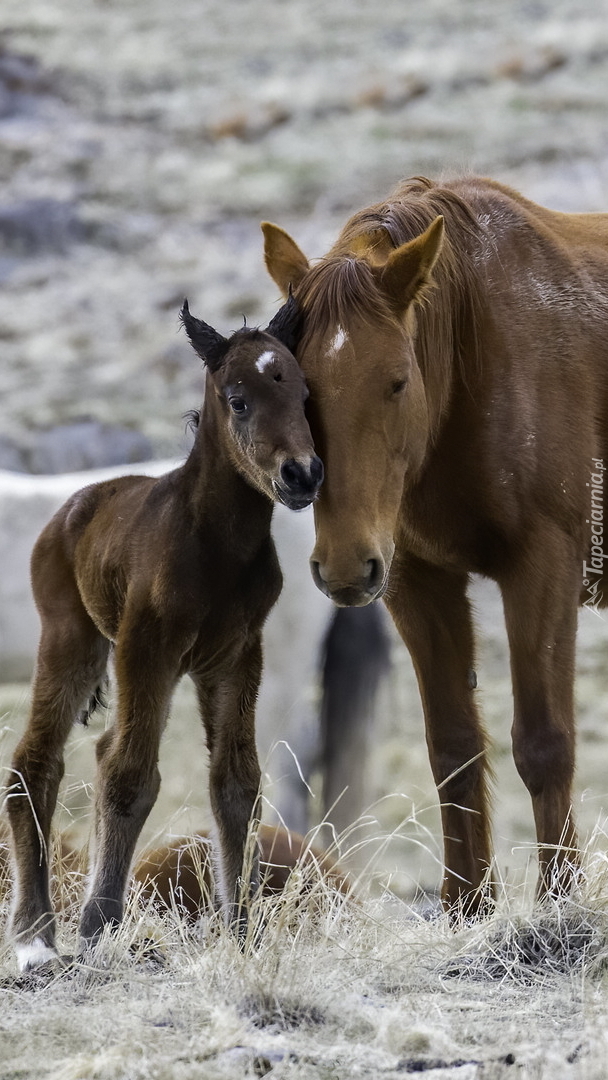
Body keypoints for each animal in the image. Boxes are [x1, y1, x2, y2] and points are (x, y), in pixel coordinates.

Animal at [7, 295, 326, 972]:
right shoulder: (146, 647)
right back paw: (35, 936)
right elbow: (130, 775)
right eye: (238, 399)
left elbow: (236, 783)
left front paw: (240, 930)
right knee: (37, 762)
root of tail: (71, 508)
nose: (303, 475)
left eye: (303, 392)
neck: (217, 548)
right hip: (72, 642)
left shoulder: (237, 657)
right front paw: (97, 928)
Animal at [264, 177, 608, 920]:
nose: (342, 565)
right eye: (296, 389)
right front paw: (466, 904)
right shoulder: (414, 582)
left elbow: (544, 743)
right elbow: (452, 747)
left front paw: (559, 901)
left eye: (397, 380)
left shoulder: (543, 568)